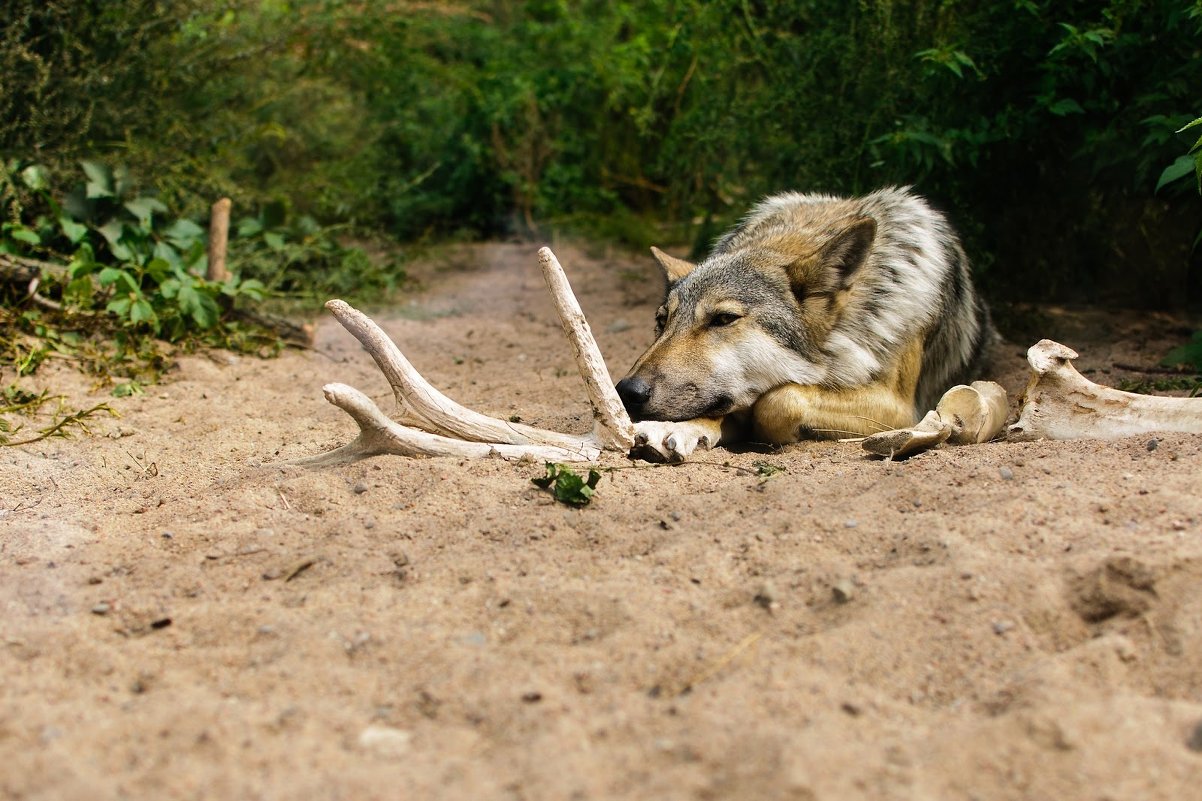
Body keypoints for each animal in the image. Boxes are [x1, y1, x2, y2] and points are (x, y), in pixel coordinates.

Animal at [615, 186, 990, 459]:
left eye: (723, 319)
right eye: (661, 321)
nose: (626, 391)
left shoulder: (901, 407)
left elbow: (778, 400)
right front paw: (679, 429)